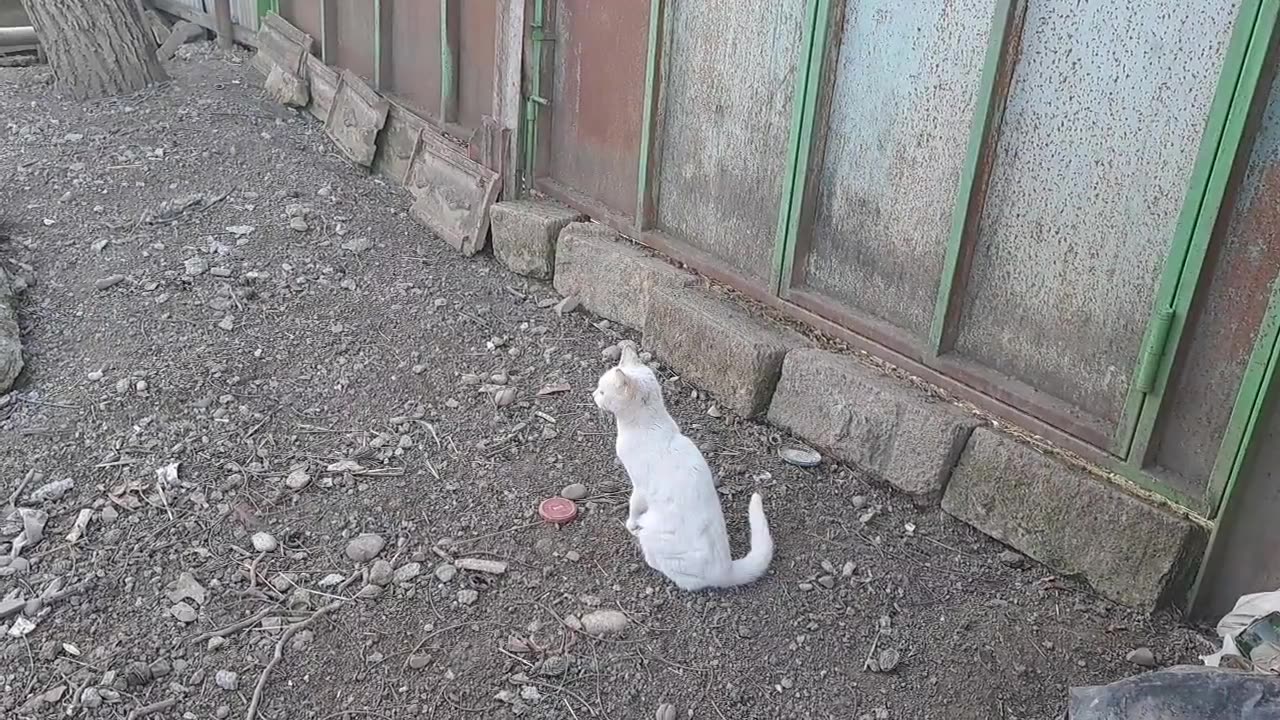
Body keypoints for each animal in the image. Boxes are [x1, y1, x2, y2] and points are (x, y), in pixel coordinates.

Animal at [588, 340, 768, 589]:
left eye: (603, 391)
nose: (593, 394)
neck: (647, 424)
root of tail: (725, 569)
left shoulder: (639, 487)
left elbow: (633, 505)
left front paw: (630, 523)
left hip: (654, 533)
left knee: (678, 576)